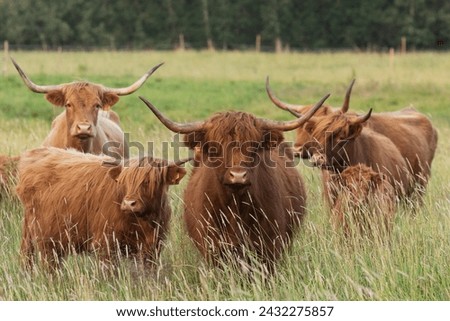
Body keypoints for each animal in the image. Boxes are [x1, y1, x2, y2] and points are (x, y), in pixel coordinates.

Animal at [139, 92, 328, 272]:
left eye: (254, 146)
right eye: (215, 147)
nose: (238, 176)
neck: (235, 207)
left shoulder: (269, 247)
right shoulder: (213, 248)